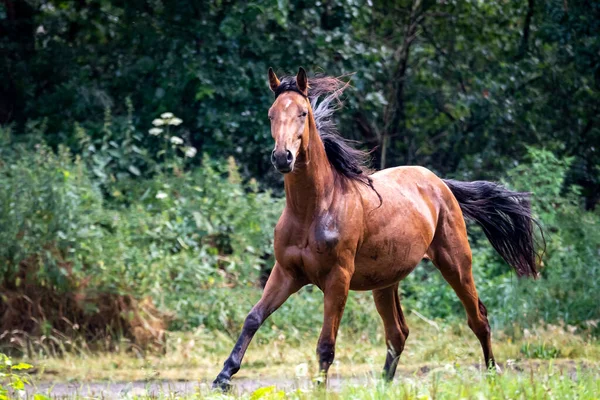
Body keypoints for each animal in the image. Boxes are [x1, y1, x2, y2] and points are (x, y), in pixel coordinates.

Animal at [213, 67, 540, 390]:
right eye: (271, 114)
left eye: (303, 113)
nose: (283, 157)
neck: (312, 210)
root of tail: (440, 183)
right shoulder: (286, 273)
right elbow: (253, 318)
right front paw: (223, 377)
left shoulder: (337, 279)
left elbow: (326, 344)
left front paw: (318, 387)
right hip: (385, 282)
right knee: (398, 333)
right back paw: (384, 384)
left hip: (455, 264)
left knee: (478, 319)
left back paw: (492, 374)